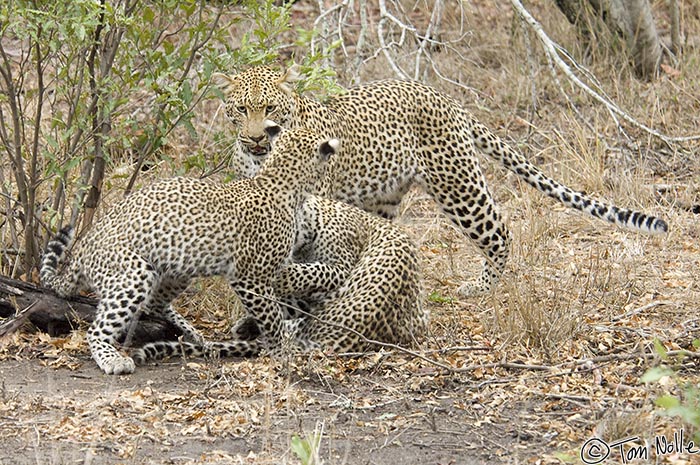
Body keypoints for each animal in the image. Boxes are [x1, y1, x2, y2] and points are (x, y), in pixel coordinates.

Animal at [39, 122, 338, 374]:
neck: (280, 182)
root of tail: (81, 250)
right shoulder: (250, 277)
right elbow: (272, 318)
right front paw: (282, 353)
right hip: (134, 272)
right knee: (98, 329)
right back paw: (113, 359)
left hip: (178, 269)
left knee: (154, 304)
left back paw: (193, 333)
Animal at [212, 65, 668, 294]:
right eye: (240, 109)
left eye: (269, 107)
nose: (256, 137)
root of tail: (445, 98)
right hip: (386, 198)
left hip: (458, 186)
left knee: (501, 231)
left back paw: (481, 288)